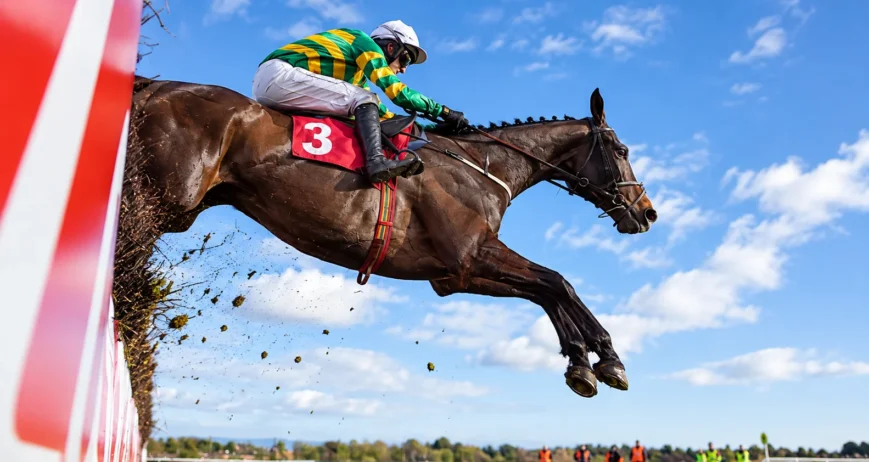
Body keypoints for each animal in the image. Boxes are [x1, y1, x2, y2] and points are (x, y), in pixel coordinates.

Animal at [129, 76, 657, 398]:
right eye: (622, 149)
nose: (647, 212)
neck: (483, 167)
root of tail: (156, 86)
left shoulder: (453, 276)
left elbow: (550, 290)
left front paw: (585, 362)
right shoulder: (470, 256)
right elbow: (557, 282)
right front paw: (604, 359)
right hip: (160, 201)